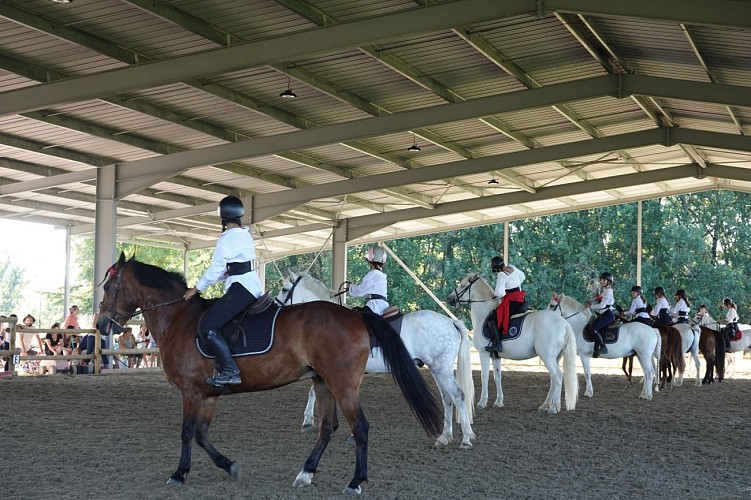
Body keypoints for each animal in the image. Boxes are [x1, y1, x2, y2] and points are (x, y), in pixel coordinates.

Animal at [97, 254, 444, 496]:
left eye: (111, 287)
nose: (101, 325)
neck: (178, 318)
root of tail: (356, 317)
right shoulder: (207, 394)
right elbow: (201, 434)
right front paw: (230, 467)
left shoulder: (191, 391)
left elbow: (186, 432)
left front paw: (179, 474)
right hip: (324, 382)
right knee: (327, 427)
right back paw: (306, 474)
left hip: (344, 385)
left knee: (360, 427)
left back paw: (355, 481)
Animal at [276, 272, 476, 452]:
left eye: (284, 289)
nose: (277, 308)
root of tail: (452, 323)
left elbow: (313, 392)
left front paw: (308, 421)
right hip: (437, 369)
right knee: (447, 398)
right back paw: (444, 437)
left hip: (442, 368)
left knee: (458, 395)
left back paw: (466, 439)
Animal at [446, 274, 580, 414]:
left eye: (462, 285)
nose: (449, 298)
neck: (484, 314)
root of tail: (564, 323)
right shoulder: (495, 356)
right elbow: (497, 377)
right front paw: (498, 402)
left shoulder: (483, 353)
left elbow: (484, 376)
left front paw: (482, 402)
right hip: (556, 357)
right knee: (553, 378)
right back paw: (545, 405)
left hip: (547, 357)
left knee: (558, 376)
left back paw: (554, 407)